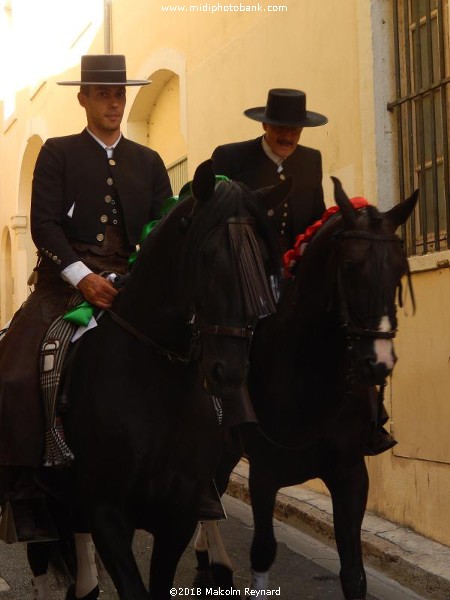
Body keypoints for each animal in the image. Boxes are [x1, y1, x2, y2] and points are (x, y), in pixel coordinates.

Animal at [31, 161, 292, 600]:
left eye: (262, 260)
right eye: (206, 257)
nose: (230, 371)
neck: (154, 389)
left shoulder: (179, 513)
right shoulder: (106, 511)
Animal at [193, 179, 418, 600]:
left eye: (400, 268)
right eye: (350, 266)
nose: (378, 362)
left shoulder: (350, 475)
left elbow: (354, 573)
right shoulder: (264, 476)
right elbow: (263, 552)